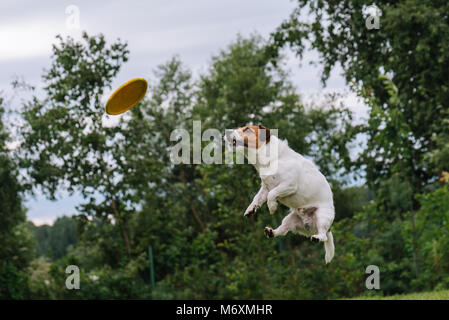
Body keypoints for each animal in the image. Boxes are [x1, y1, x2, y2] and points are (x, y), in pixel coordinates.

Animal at [226, 124, 334, 262]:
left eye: (247, 129)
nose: (226, 132)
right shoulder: (265, 187)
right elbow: (257, 198)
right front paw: (251, 209)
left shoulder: (289, 185)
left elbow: (272, 194)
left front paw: (272, 207)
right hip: (290, 220)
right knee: (282, 230)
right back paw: (271, 232)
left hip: (322, 217)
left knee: (323, 236)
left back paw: (317, 237)